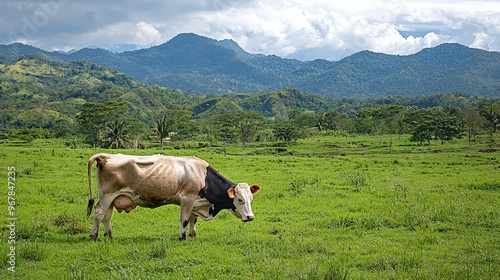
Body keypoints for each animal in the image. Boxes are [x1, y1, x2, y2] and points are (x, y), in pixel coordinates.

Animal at [85, 153, 260, 241]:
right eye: (240, 200)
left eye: (251, 199)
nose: (250, 217)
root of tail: (107, 156)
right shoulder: (187, 200)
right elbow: (184, 220)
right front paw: (182, 237)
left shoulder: (195, 203)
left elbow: (193, 219)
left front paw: (193, 235)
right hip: (107, 196)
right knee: (99, 213)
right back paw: (94, 236)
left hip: (113, 198)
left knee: (107, 216)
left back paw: (110, 236)